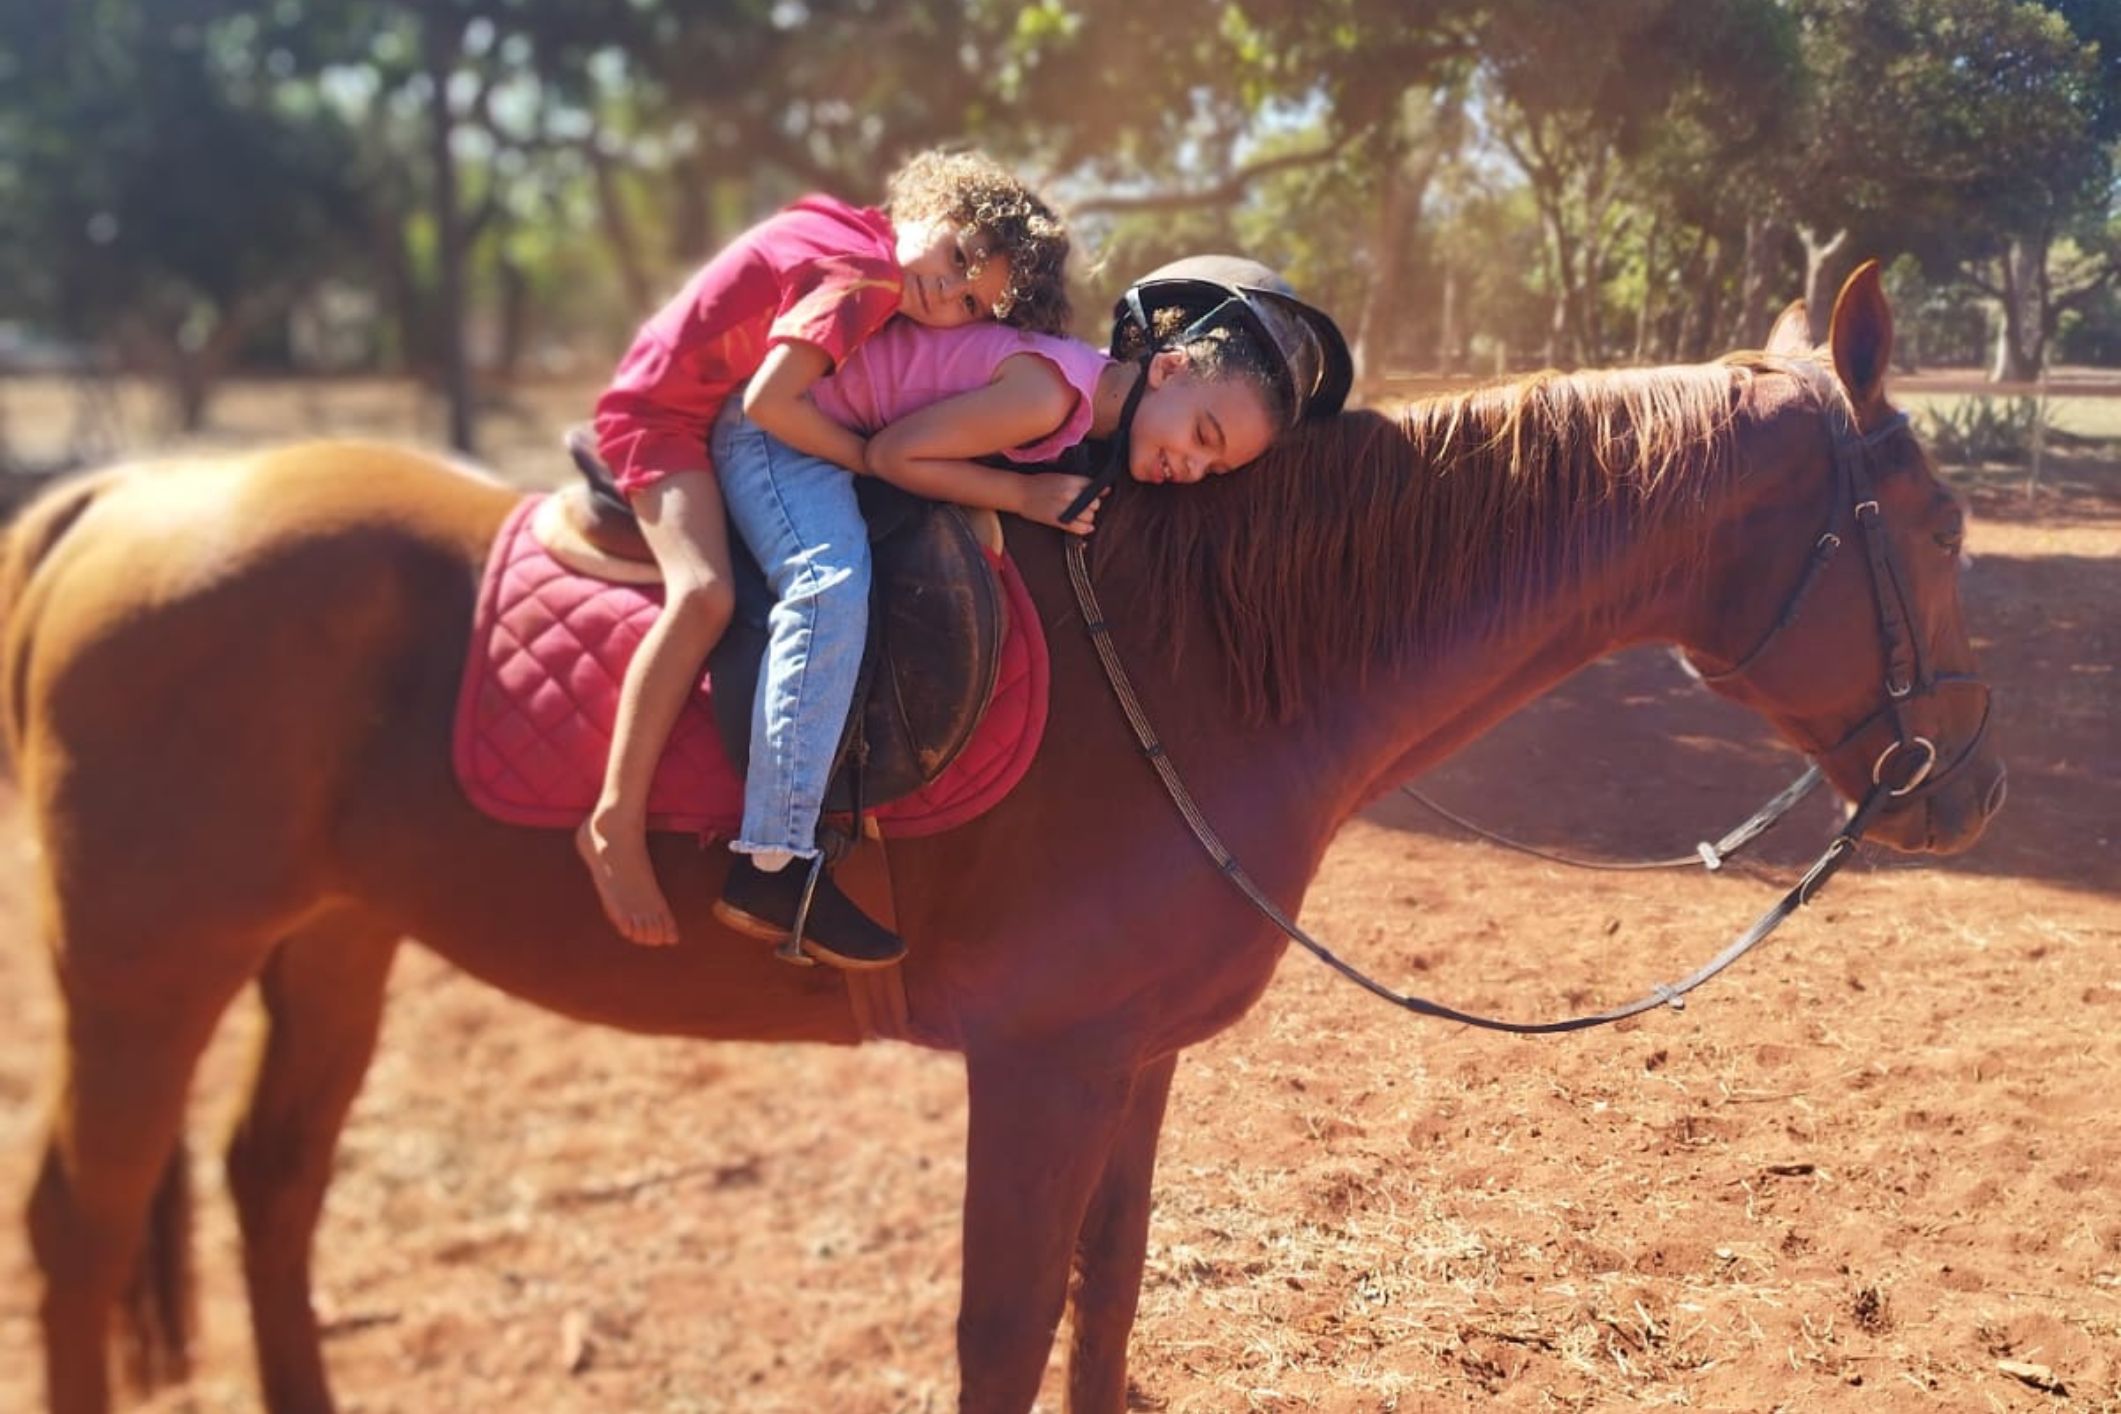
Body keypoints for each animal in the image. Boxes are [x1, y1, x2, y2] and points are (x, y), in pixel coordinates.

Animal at [8, 265, 2001, 1414]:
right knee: (83, 1223)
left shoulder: (1130, 1060)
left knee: (268, 1188)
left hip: (330, 934)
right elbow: (1004, 1320)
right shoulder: (1039, 1065)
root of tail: (119, 498)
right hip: (148, 963)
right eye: (1938, 520)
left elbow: (1105, 1292)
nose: (1966, 784)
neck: (1202, 652)